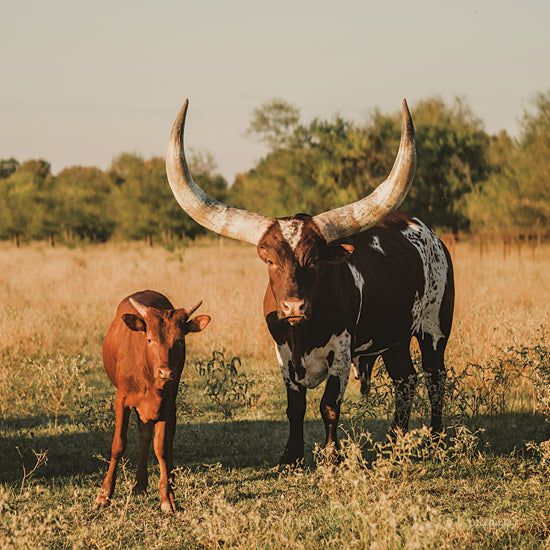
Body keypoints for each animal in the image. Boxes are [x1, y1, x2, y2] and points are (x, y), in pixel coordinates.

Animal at [95, 292, 211, 516]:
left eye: (180, 340)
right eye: (150, 339)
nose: (165, 372)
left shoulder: (166, 405)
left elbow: (161, 448)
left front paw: (167, 497)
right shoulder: (122, 401)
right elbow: (118, 445)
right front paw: (104, 495)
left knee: (158, 440)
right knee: (144, 436)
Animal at [165, 100, 458, 466]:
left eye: (315, 259)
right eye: (270, 260)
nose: (293, 306)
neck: (304, 332)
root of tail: (429, 233)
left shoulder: (342, 352)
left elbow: (329, 405)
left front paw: (332, 457)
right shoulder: (283, 354)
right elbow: (295, 407)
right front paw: (290, 458)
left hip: (434, 328)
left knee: (435, 378)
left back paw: (436, 441)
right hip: (394, 338)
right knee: (406, 380)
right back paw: (394, 445)